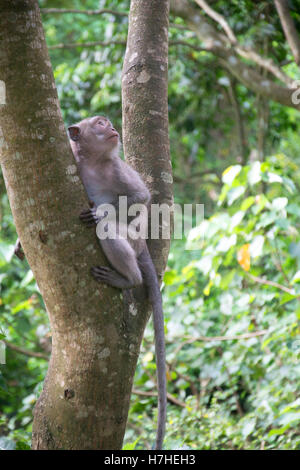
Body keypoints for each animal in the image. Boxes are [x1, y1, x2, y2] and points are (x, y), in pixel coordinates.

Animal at [68, 115, 166, 450]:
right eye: (99, 123)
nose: (111, 128)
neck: (96, 162)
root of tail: (142, 245)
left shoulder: (118, 167)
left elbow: (140, 198)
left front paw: (102, 208)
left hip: (132, 240)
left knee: (110, 227)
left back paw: (128, 279)